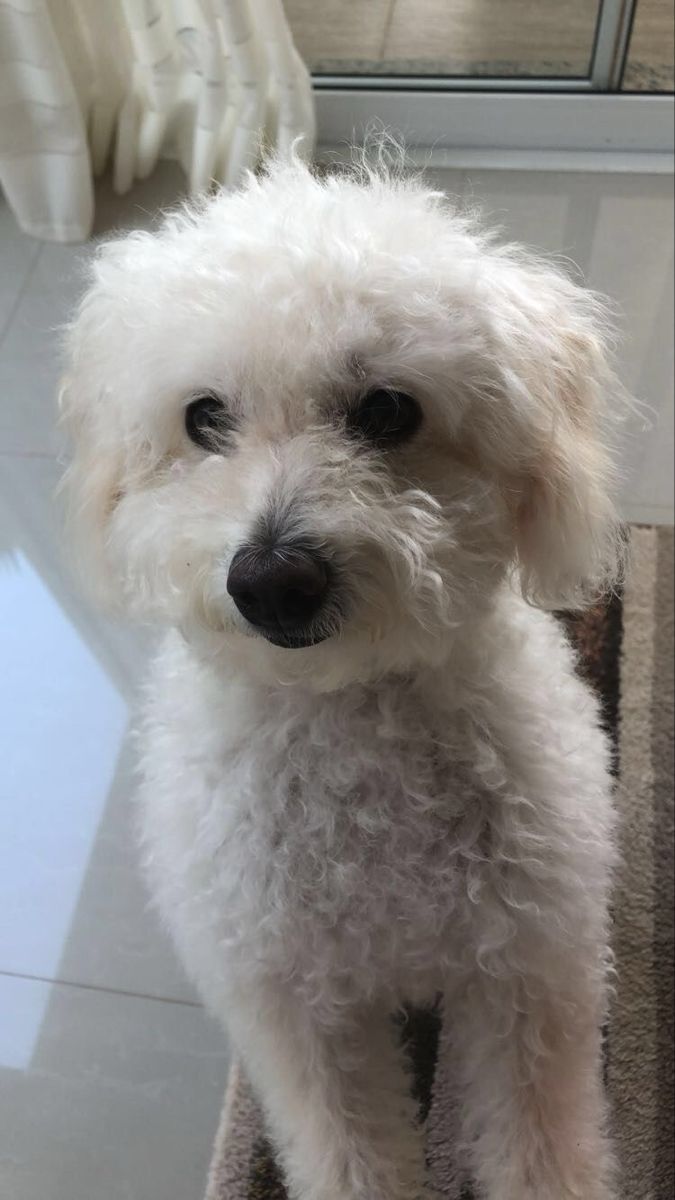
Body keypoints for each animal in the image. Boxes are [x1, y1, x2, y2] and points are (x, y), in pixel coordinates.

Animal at [61, 159, 619, 1200]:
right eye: (204, 417)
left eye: (387, 410)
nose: (271, 582)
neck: (351, 717)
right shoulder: (299, 1012)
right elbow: (347, 1152)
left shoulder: (526, 977)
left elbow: (539, 1147)